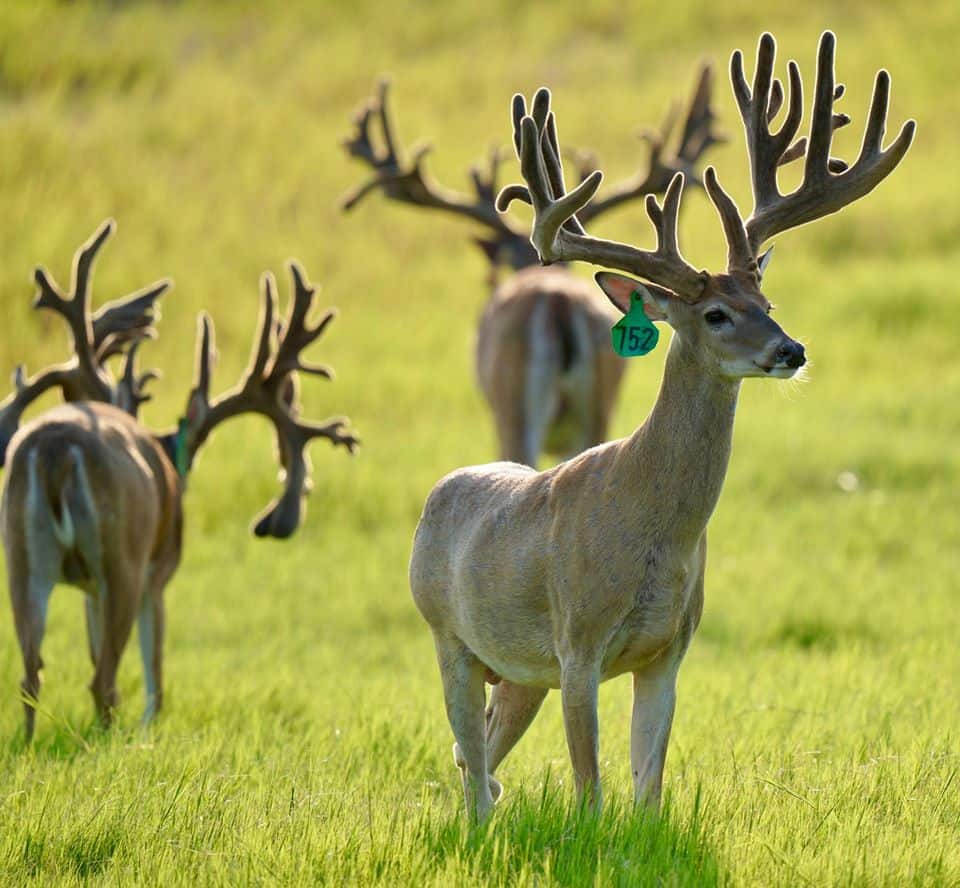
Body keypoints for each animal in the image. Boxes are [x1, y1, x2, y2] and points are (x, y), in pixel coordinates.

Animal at [1, 225, 358, 740]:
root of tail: (56, 452)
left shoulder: (88, 588)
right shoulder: (159, 572)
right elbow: (157, 678)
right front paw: (148, 728)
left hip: (22, 557)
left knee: (32, 674)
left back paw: (33, 743)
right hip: (122, 560)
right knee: (103, 680)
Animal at [409, 31, 915, 822]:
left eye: (767, 301)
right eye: (715, 313)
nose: (791, 351)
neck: (653, 530)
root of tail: (440, 495)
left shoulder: (670, 650)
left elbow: (649, 788)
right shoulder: (578, 642)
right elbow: (589, 790)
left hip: (517, 672)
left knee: (482, 758)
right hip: (447, 634)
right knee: (472, 767)